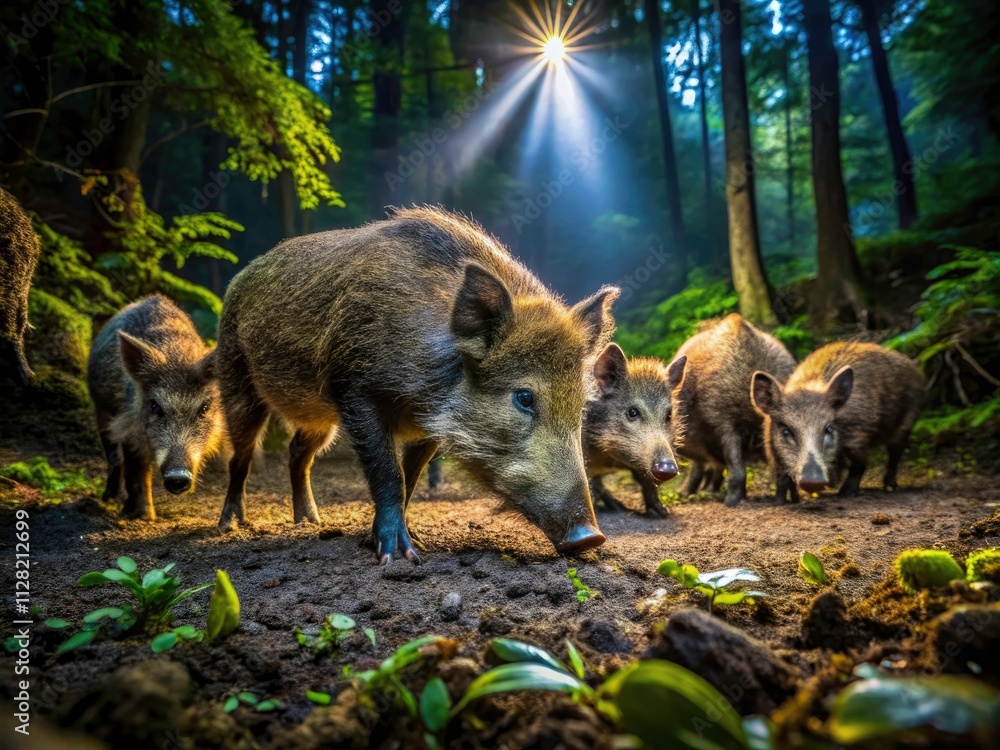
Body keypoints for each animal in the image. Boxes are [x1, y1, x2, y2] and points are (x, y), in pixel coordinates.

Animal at [88, 295, 225, 519]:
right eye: (154, 406)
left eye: (204, 408)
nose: (178, 477)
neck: (178, 355)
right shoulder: (129, 426)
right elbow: (137, 469)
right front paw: (143, 516)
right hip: (101, 410)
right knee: (113, 456)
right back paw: (110, 499)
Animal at [215, 207, 619, 564]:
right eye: (523, 397)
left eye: (580, 405)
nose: (592, 537)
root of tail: (237, 279)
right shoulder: (354, 389)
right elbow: (389, 473)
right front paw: (397, 556)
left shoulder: (425, 427)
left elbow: (410, 478)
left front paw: (408, 543)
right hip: (236, 379)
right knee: (241, 456)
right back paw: (230, 526)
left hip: (319, 417)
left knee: (298, 451)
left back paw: (310, 522)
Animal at [583, 343, 682, 517]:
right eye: (632, 412)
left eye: (669, 415)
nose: (667, 468)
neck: (607, 456)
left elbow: (645, 481)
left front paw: (661, 513)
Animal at [751, 341, 923, 500]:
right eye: (786, 430)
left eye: (828, 429)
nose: (813, 481)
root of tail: (914, 366)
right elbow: (781, 478)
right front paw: (781, 501)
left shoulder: (859, 435)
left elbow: (859, 464)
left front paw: (845, 494)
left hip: (907, 419)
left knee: (896, 453)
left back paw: (890, 487)